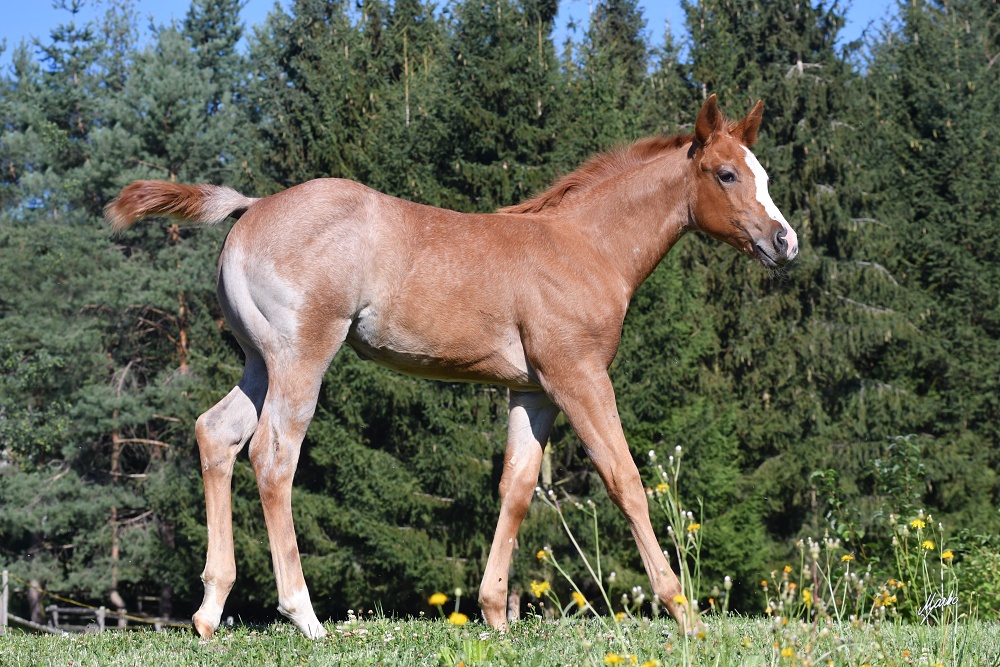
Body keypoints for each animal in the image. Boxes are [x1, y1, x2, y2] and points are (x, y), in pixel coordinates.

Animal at [105, 96, 796, 640]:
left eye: (761, 172)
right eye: (726, 173)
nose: (785, 242)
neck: (583, 246)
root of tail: (252, 207)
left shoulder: (533, 392)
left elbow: (517, 487)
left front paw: (494, 613)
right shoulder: (578, 376)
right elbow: (625, 479)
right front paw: (684, 611)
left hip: (258, 360)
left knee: (216, 434)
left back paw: (209, 610)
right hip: (302, 358)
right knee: (273, 455)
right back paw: (305, 616)